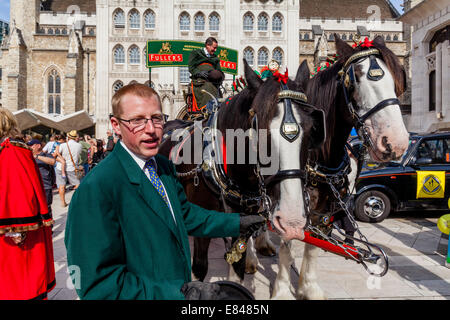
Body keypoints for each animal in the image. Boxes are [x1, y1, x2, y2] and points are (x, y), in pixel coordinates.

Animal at [158, 60, 324, 282]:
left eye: (312, 129)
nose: (292, 219)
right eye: (259, 130)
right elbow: (199, 268)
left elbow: (237, 269)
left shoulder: (243, 223)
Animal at [270, 35, 412, 300]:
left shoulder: (325, 207)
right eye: (355, 78)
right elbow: (287, 243)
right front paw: (282, 290)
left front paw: (308, 286)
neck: (320, 156)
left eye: (397, 79)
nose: (395, 142)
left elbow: (313, 244)